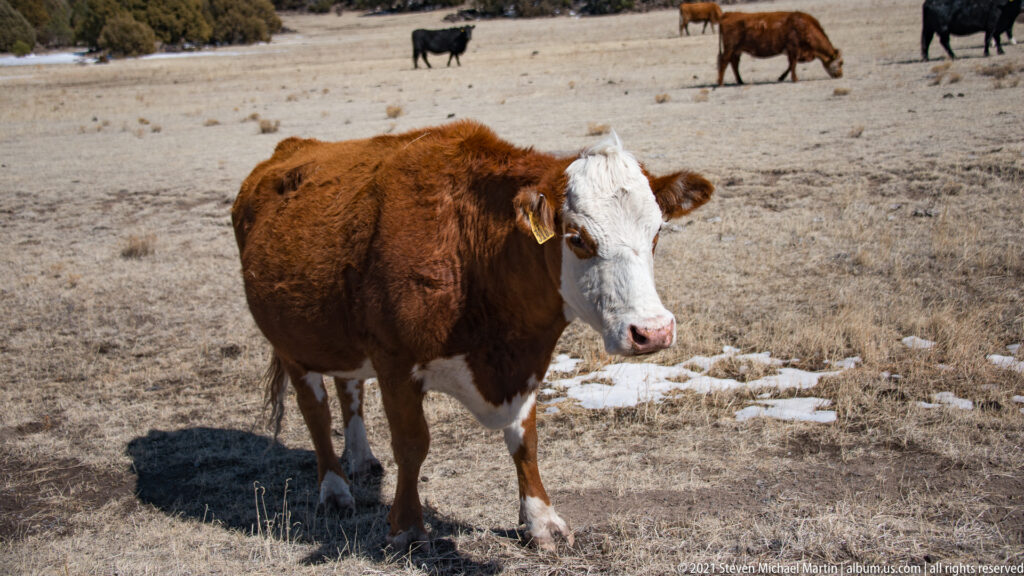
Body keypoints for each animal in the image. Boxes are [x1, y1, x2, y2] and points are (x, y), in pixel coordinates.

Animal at [231, 120, 714, 550]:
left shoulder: (526, 365)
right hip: (292, 347)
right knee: (316, 412)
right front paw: (407, 528)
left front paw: (541, 521)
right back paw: (334, 488)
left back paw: (362, 459)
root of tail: (289, 149)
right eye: (577, 237)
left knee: (349, 389)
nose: (652, 331)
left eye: (656, 232)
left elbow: (525, 442)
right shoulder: (395, 363)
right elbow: (412, 445)